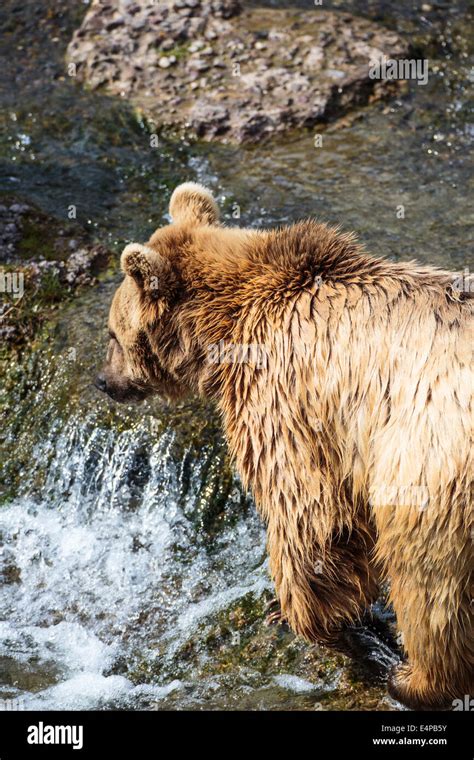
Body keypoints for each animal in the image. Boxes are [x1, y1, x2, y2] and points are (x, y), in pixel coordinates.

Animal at [97, 181, 474, 708]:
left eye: (113, 332)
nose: (103, 381)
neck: (225, 327)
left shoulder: (285, 397)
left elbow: (310, 515)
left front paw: (308, 616)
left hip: (428, 466)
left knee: (426, 578)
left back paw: (413, 677)